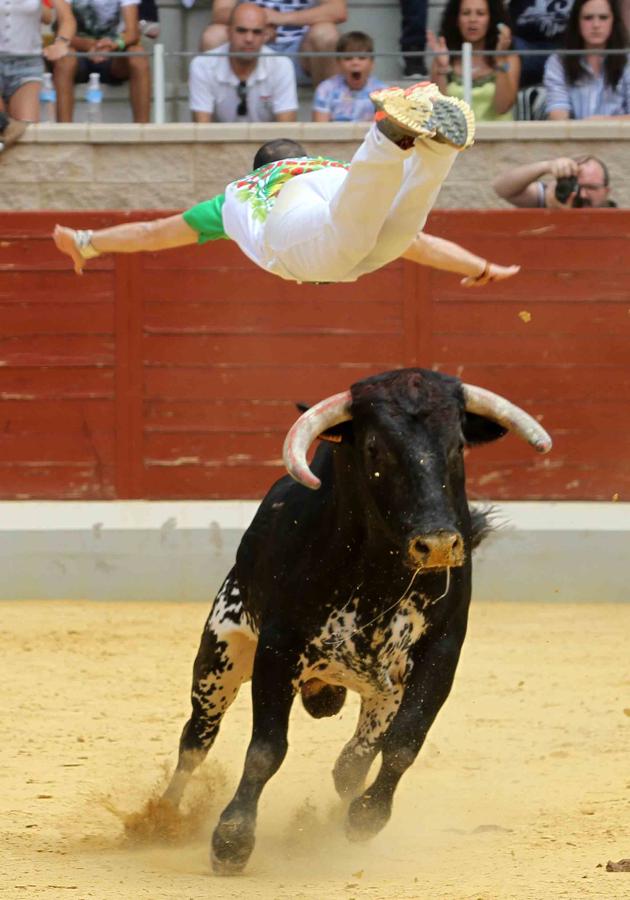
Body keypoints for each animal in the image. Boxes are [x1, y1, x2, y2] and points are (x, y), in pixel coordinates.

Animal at [163, 366, 552, 872]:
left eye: (457, 445)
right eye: (374, 449)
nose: (439, 544)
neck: (379, 576)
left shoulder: (442, 650)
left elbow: (404, 743)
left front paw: (367, 817)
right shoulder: (278, 647)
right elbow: (266, 749)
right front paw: (232, 839)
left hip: (382, 691)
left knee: (352, 760)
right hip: (221, 656)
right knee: (196, 739)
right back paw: (160, 818)